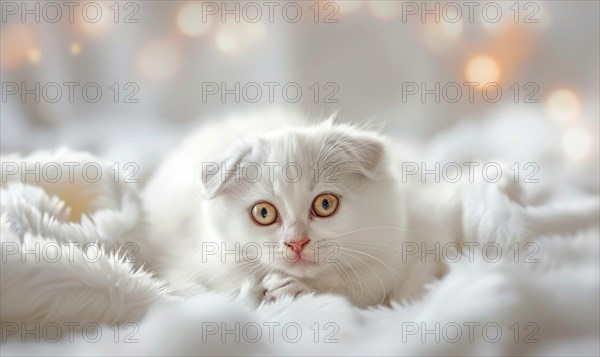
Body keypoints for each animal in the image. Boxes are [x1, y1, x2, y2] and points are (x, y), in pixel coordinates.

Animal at [143, 111, 452, 306]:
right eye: (263, 213)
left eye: (325, 204)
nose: (296, 243)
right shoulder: (179, 262)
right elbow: (201, 294)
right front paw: (251, 292)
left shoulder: (404, 256)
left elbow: (357, 293)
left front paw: (297, 289)